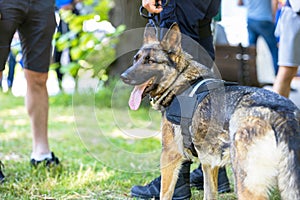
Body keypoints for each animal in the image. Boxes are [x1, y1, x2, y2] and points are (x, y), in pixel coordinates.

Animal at [120, 23, 300, 200]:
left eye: (150, 61)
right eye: (136, 59)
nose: (123, 76)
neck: (180, 81)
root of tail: (280, 112)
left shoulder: (170, 155)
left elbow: (165, 193)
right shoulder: (209, 163)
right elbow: (209, 192)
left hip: (244, 183)